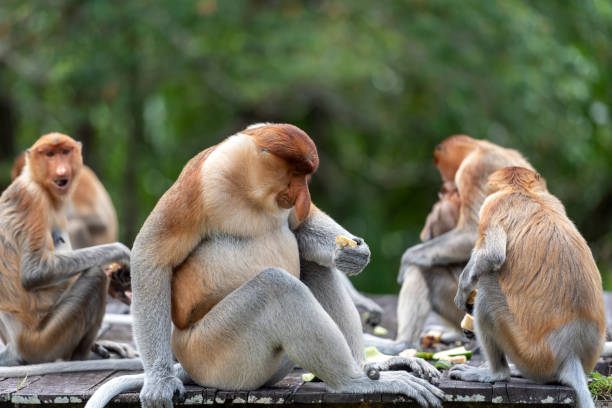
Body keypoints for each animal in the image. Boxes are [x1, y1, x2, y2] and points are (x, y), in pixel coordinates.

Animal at [0, 135, 136, 370]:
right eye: (49, 155)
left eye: (65, 152)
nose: (61, 170)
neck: (38, 183)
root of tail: (14, 347)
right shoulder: (30, 199)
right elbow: (34, 272)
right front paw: (122, 253)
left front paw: (118, 280)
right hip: (43, 342)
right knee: (94, 276)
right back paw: (83, 356)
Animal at [86, 122, 444, 408]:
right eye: (297, 174)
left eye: (307, 176)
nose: (304, 197)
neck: (249, 190)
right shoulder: (200, 183)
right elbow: (152, 255)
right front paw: (159, 383)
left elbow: (299, 229)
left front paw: (352, 253)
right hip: (214, 355)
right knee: (276, 286)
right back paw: (353, 383)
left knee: (311, 265)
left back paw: (371, 367)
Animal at [450, 166, 608, 408]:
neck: (522, 191)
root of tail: (570, 353)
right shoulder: (554, 200)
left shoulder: (492, 205)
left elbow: (492, 256)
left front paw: (463, 293)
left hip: (530, 354)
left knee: (487, 294)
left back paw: (496, 373)